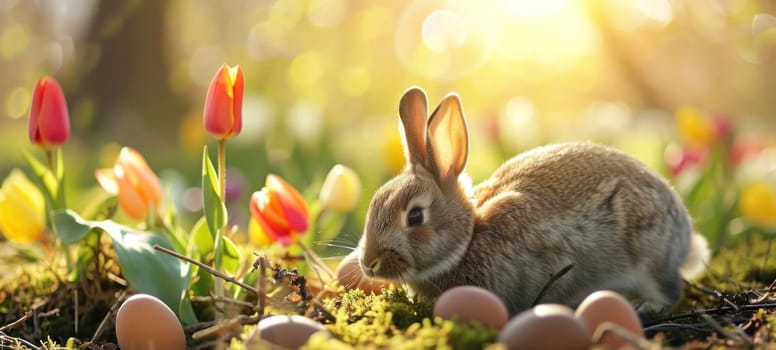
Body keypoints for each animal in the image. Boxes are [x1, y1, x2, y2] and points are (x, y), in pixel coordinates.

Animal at [358, 86, 708, 314]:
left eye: (415, 216)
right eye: (374, 204)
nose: (368, 263)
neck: (468, 238)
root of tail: (685, 238)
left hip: (649, 255)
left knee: (669, 290)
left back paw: (643, 305)